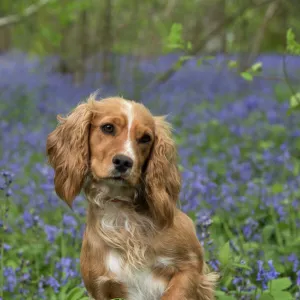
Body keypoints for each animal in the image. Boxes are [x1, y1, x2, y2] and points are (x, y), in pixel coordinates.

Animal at [45, 95, 217, 300]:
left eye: (145, 138)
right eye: (108, 127)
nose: (124, 161)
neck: (124, 217)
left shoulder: (190, 267)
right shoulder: (101, 287)